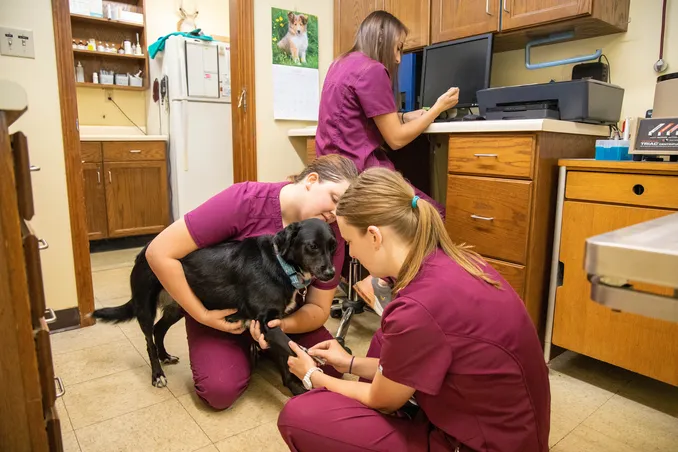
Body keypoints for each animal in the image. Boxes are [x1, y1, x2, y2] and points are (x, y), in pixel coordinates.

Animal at [94, 219, 338, 396]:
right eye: (312, 246)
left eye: (333, 247)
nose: (331, 273)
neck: (281, 264)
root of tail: (143, 250)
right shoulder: (268, 324)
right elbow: (292, 348)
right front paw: (311, 363)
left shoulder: (272, 325)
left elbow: (286, 356)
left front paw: (295, 387)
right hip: (145, 306)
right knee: (149, 340)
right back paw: (157, 374)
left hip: (178, 306)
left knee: (159, 329)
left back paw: (165, 356)